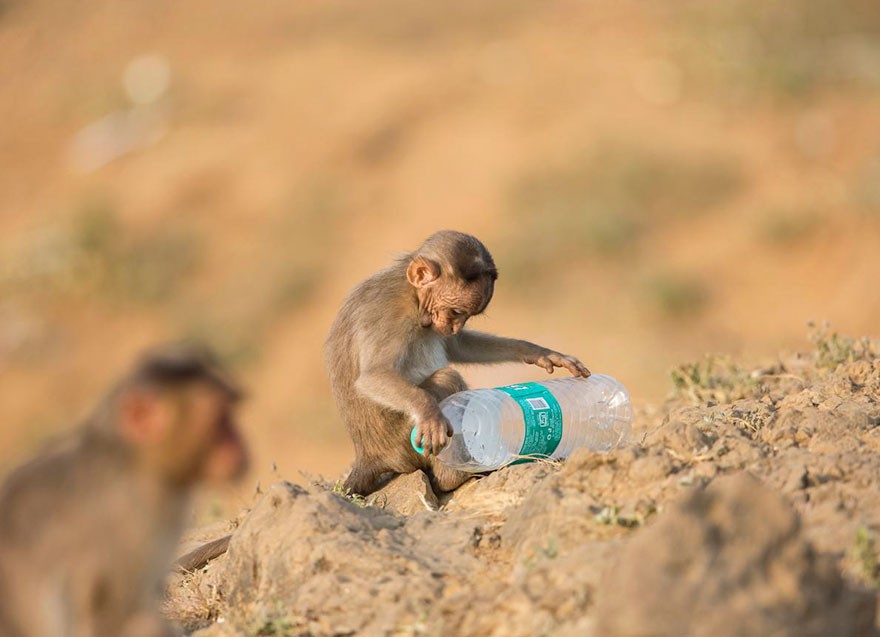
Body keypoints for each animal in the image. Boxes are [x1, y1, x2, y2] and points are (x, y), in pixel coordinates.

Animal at [324, 230, 592, 496]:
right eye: (455, 311)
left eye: (466, 316)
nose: (454, 327)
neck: (410, 294)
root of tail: (370, 454)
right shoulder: (389, 314)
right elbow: (374, 375)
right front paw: (429, 413)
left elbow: (457, 346)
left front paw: (535, 351)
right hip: (401, 442)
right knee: (447, 378)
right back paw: (452, 477)